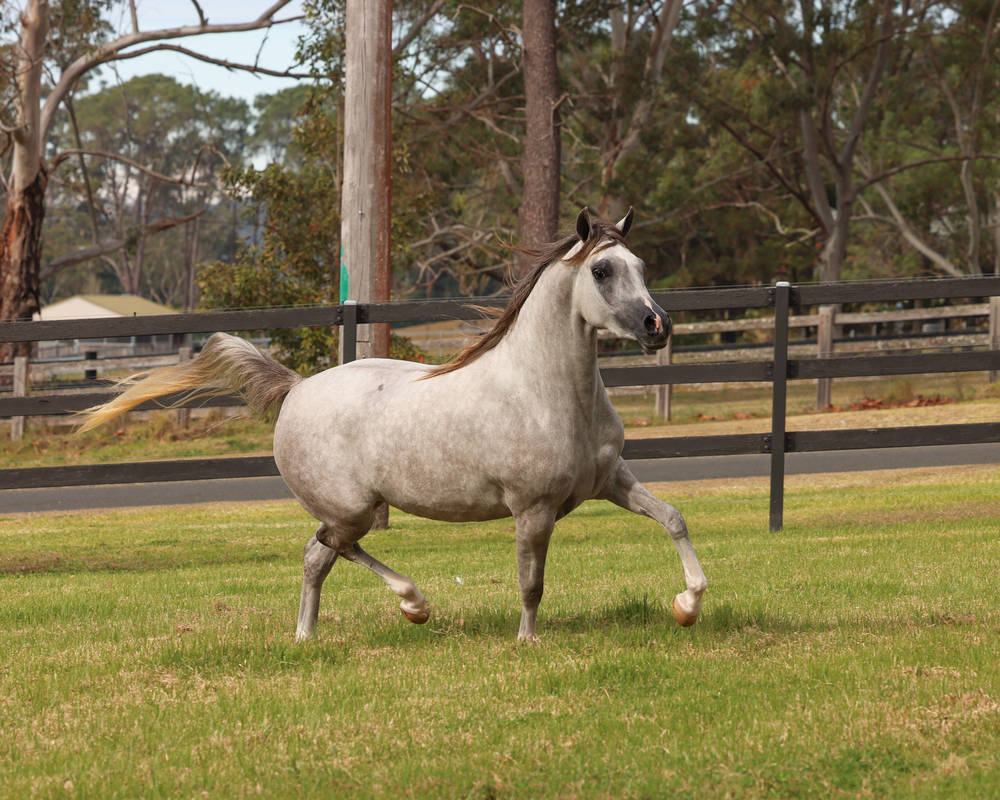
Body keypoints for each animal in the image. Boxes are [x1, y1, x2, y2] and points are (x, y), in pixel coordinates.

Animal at [78, 207, 708, 641]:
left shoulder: (610, 480)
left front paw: (688, 603)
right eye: (601, 270)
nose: (658, 325)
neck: (543, 391)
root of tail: (297, 389)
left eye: (641, 266)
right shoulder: (533, 508)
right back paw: (413, 603)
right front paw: (527, 641)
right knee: (330, 546)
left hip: (353, 510)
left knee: (316, 556)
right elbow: (531, 581)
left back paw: (307, 636)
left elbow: (674, 517)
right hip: (353, 508)